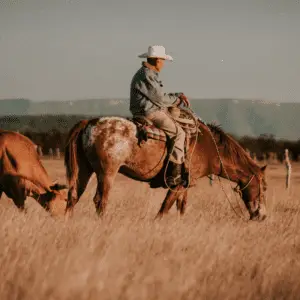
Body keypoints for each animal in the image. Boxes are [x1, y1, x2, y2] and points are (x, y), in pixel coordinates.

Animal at [63, 108, 268, 220]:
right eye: (264, 187)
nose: (263, 216)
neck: (208, 147)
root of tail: (89, 122)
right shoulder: (177, 185)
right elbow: (164, 209)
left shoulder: (185, 185)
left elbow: (180, 208)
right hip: (106, 173)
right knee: (100, 200)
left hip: (84, 171)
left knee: (73, 195)